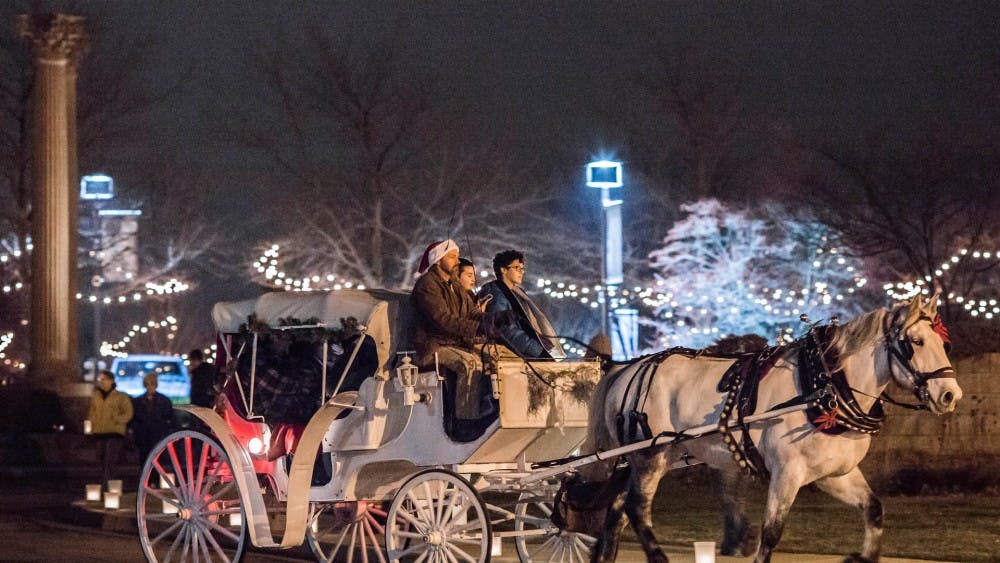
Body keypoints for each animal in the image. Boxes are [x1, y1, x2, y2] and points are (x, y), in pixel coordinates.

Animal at [584, 296, 964, 563]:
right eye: (915, 342)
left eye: (943, 343)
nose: (951, 395)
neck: (823, 386)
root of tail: (628, 368)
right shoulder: (787, 472)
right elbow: (771, 534)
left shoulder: (835, 474)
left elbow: (874, 509)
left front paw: (861, 556)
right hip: (652, 454)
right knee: (637, 509)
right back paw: (659, 556)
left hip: (654, 457)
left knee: (618, 509)